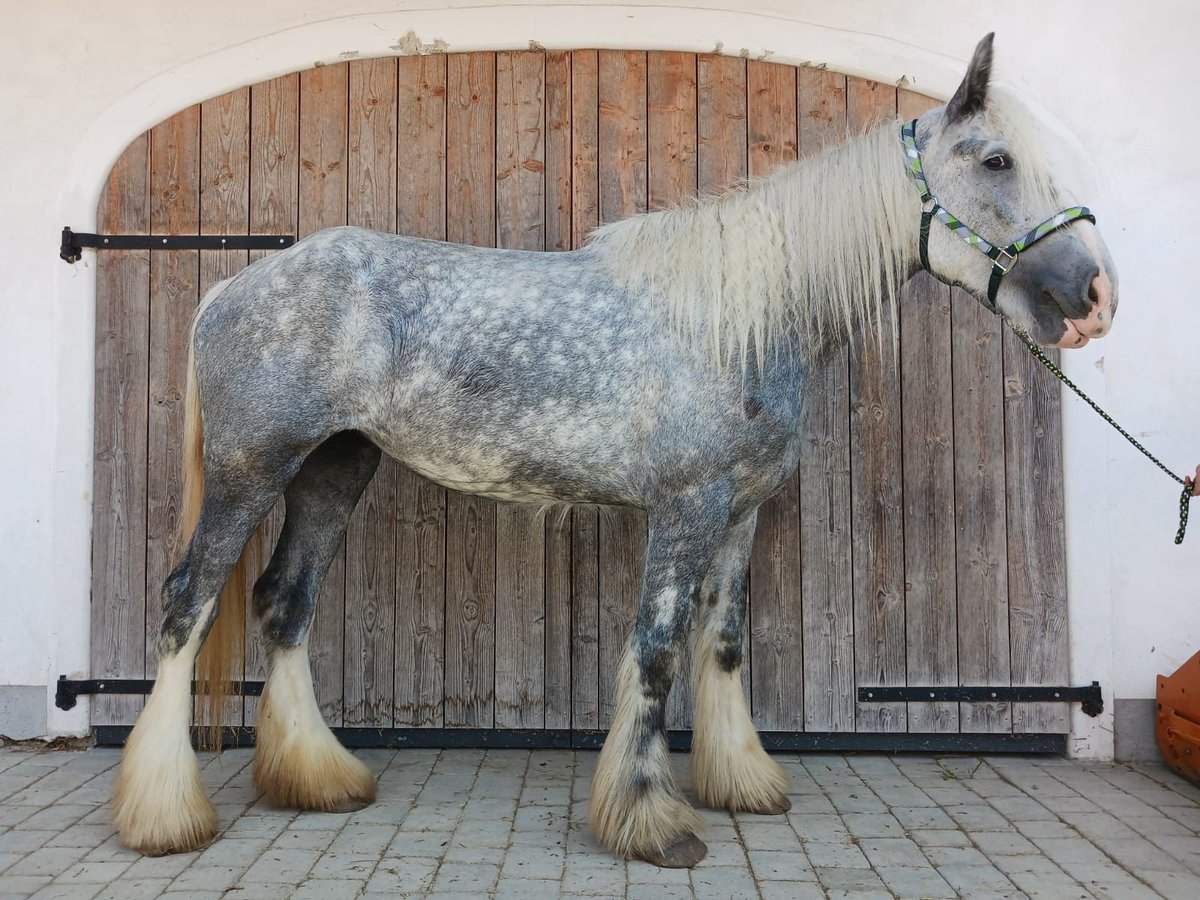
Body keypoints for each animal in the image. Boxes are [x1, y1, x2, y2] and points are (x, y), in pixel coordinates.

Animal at [110, 34, 1117, 868]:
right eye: (996, 159)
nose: (1093, 295)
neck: (738, 320)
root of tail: (238, 284)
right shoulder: (685, 508)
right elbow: (658, 651)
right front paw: (650, 823)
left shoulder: (740, 512)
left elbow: (723, 645)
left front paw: (741, 784)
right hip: (250, 473)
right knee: (187, 605)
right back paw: (164, 816)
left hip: (333, 471)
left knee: (285, 606)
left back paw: (318, 782)